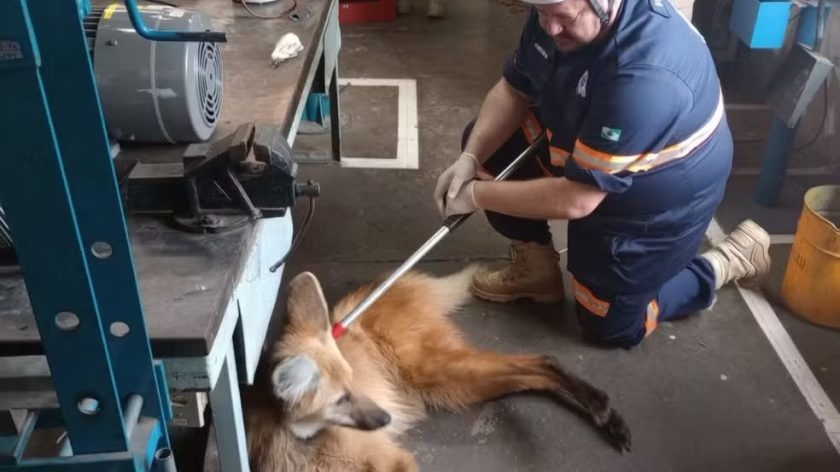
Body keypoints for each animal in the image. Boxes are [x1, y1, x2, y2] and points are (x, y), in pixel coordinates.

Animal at [243, 268, 632, 470]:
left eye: (353, 387)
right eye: (339, 400)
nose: (384, 418)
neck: (305, 443)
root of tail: (390, 283)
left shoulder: (393, 462)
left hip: (438, 372)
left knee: (543, 362)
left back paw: (604, 410)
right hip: (453, 386)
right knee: (537, 372)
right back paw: (606, 415)